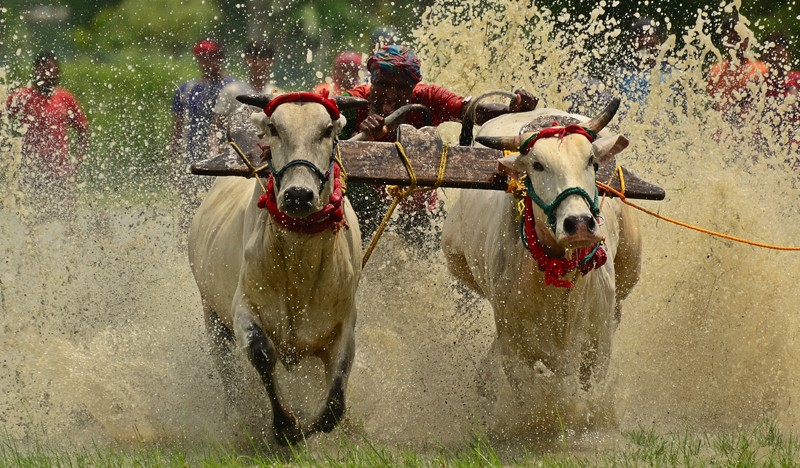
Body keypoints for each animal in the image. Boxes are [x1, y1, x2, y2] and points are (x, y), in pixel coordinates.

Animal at [187, 91, 366, 444]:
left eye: (328, 131)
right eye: (273, 128)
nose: (298, 195)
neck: (300, 262)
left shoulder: (344, 326)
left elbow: (334, 405)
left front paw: (305, 428)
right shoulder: (244, 308)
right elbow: (261, 353)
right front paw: (285, 426)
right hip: (211, 314)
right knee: (229, 373)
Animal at [442, 98, 641, 400]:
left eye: (591, 161)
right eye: (537, 165)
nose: (579, 224)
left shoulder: (597, 347)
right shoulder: (515, 351)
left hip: (630, 266)